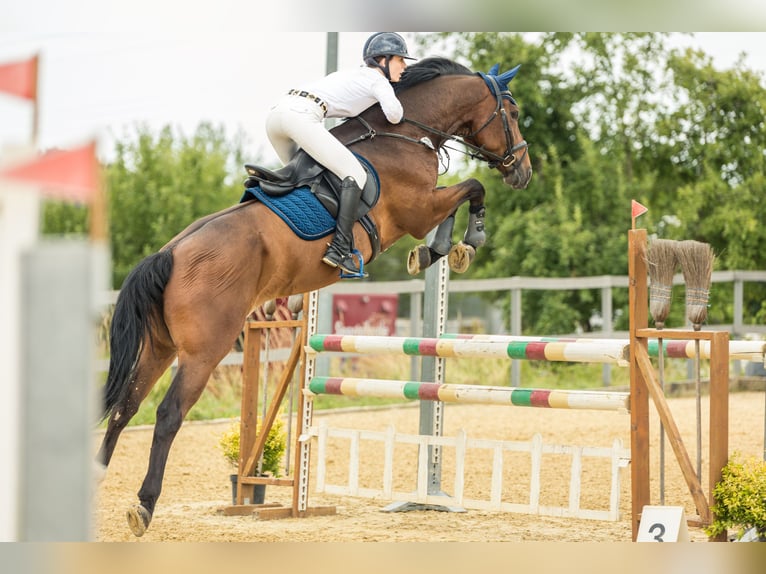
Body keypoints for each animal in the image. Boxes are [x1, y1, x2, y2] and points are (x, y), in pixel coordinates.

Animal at [96, 56, 536, 536]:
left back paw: (94, 479)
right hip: (203, 351)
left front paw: (435, 252)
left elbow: (464, 196)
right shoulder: (418, 209)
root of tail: (170, 254)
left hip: (159, 347)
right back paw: (143, 506)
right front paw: (458, 245)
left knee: (125, 406)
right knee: (168, 414)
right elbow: (473, 187)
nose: (523, 172)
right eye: (513, 114)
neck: (403, 133)